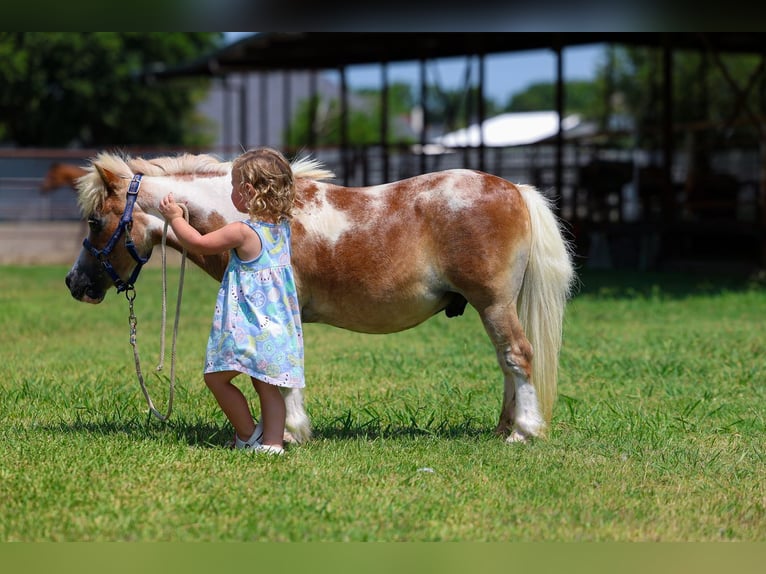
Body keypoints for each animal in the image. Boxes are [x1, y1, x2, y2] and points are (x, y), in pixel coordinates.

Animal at [65, 151, 575, 444]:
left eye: (94, 221)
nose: (74, 283)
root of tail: (515, 189)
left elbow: (283, 376)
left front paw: (290, 434)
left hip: (494, 304)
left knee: (518, 356)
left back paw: (523, 433)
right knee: (507, 364)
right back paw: (504, 428)